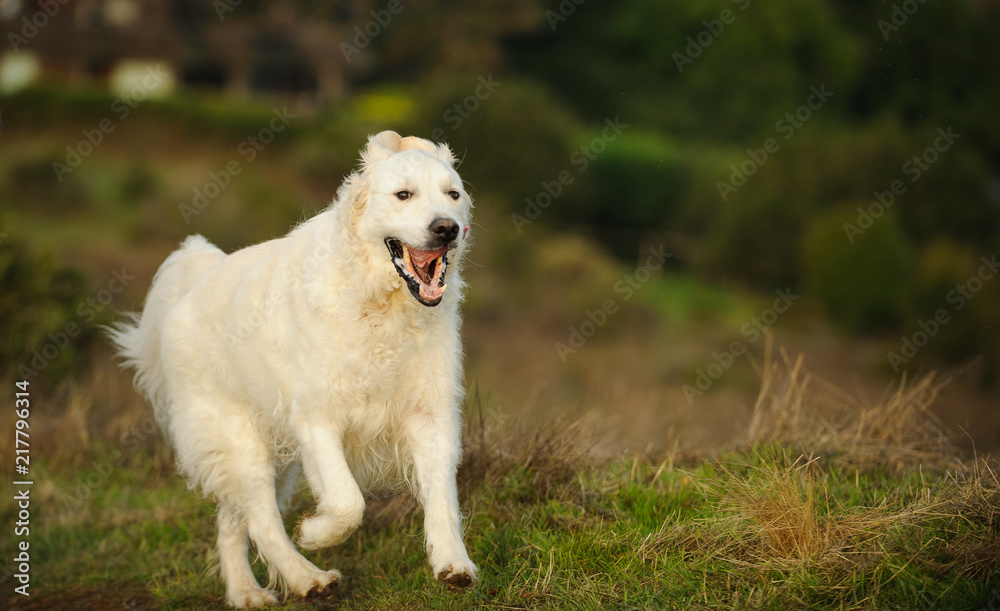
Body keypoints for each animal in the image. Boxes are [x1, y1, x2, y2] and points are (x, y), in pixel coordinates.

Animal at [111, 133, 478, 608]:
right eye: (404, 195)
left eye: (453, 195)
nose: (446, 228)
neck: (379, 306)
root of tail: (193, 280)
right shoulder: (317, 419)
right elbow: (347, 502)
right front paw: (316, 534)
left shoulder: (430, 413)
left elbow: (443, 497)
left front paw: (453, 564)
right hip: (241, 444)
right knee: (261, 521)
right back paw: (308, 579)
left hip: (272, 453)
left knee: (233, 522)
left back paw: (245, 592)